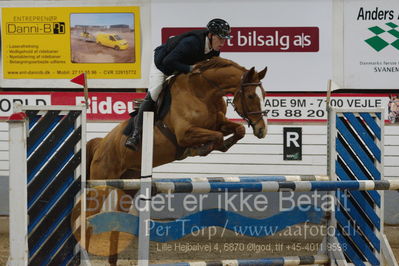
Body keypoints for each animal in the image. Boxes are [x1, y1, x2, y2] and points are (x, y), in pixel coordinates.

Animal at [86, 57, 268, 264]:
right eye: (251, 96)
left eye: (264, 95)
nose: (262, 130)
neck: (203, 92)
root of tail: (101, 144)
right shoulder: (185, 134)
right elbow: (216, 136)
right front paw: (201, 149)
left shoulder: (218, 123)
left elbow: (238, 130)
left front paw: (221, 145)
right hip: (102, 183)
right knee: (88, 215)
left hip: (128, 186)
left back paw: (113, 259)